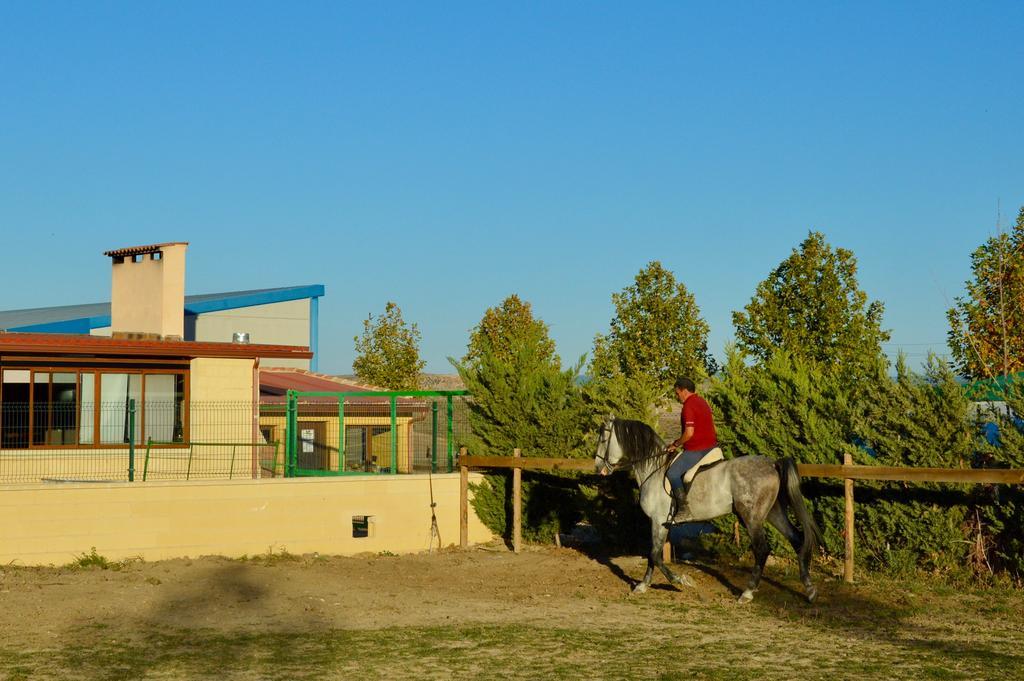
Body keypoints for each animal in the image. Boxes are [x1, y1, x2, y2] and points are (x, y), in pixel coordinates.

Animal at [593, 413, 823, 602]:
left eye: (603, 439)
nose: (598, 468)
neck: (653, 469)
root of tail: (772, 464)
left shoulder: (657, 521)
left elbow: (655, 554)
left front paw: (679, 581)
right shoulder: (660, 523)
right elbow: (653, 554)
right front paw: (643, 585)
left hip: (752, 516)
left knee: (762, 548)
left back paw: (747, 593)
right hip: (773, 512)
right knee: (796, 539)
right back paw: (810, 589)